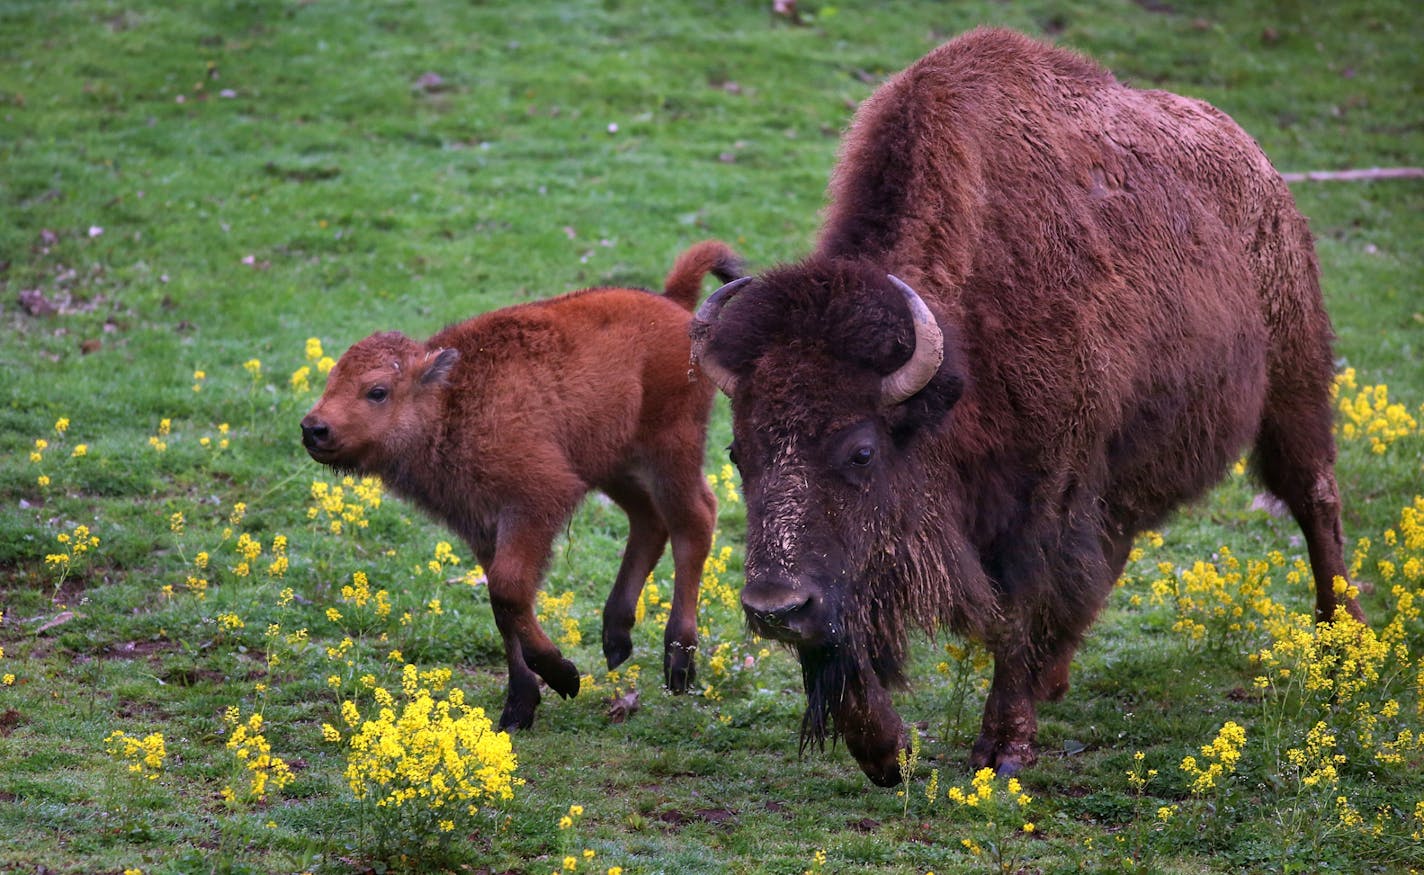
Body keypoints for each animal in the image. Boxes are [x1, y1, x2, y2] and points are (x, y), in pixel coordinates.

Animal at [304, 239, 740, 735]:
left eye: (377, 391)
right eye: (332, 379)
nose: (313, 429)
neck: (450, 400)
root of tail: (675, 304)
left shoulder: (535, 502)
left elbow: (510, 591)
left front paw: (563, 676)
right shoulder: (482, 527)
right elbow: (503, 608)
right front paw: (518, 706)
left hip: (671, 451)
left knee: (694, 522)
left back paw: (678, 663)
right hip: (612, 466)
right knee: (649, 522)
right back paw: (616, 638)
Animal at [694, 29, 1361, 786]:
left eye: (862, 451)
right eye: (737, 453)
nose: (772, 608)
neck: (960, 353)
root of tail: (1261, 170)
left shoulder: (1041, 497)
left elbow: (1018, 610)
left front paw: (1003, 748)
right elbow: (844, 632)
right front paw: (887, 751)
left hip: (1293, 379)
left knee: (1314, 498)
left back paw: (1342, 646)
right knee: (1114, 551)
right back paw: (1056, 676)